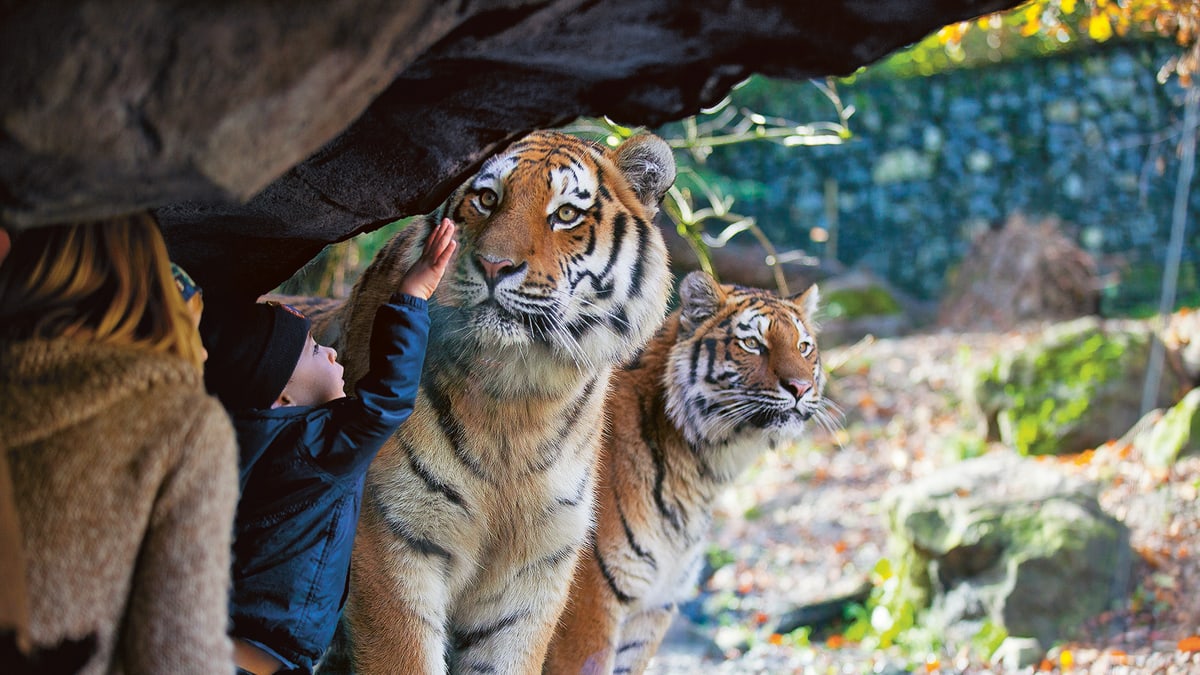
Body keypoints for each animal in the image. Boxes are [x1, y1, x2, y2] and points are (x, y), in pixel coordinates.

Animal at [312, 128, 676, 667]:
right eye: (487, 199)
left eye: (566, 213)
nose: (493, 265)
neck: (517, 397)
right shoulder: (391, 540)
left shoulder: (537, 570)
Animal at [542, 267, 830, 672]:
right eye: (752, 343)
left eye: (804, 347)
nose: (801, 387)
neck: (701, 471)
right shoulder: (587, 609)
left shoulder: (653, 607)